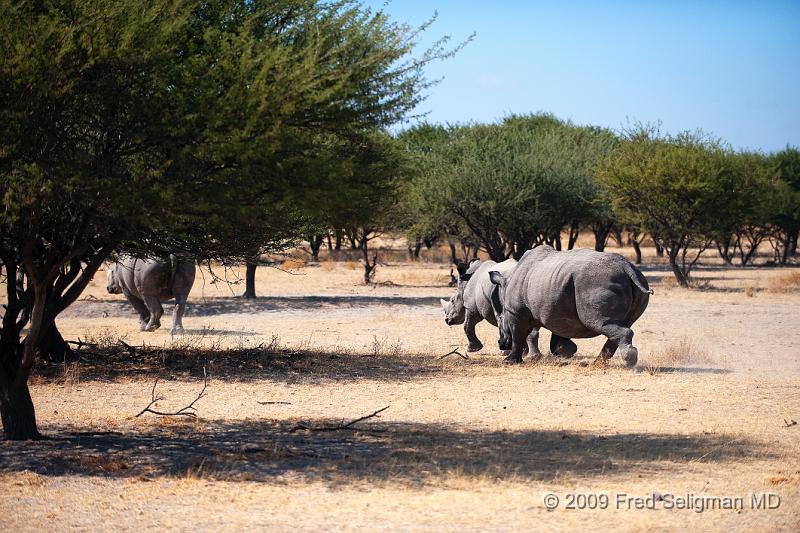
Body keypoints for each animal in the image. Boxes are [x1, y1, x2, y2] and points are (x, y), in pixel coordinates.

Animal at [488, 245, 648, 366]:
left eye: (500, 321)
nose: (501, 344)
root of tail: (626, 266)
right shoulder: (557, 312)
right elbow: (559, 335)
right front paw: (565, 351)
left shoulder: (516, 312)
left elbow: (518, 336)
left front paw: (509, 361)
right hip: (637, 281)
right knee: (622, 324)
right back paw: (598, 363)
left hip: (594, 283)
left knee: (597, 322)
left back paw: (628, 361)